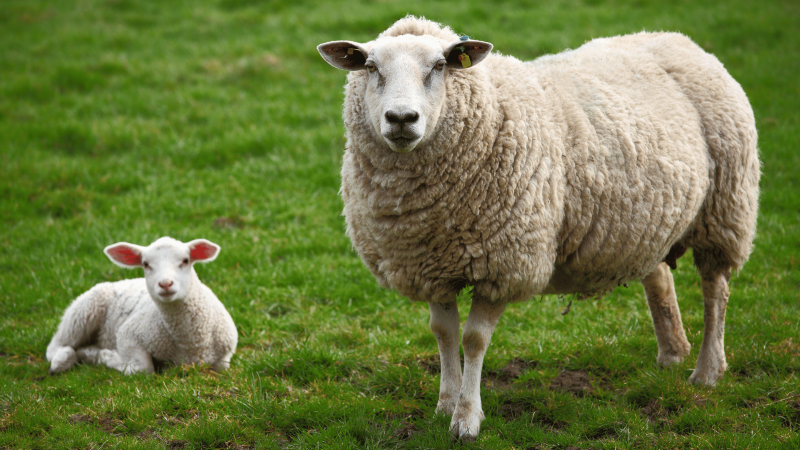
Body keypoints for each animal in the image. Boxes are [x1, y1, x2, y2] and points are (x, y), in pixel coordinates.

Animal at [46, 237, 238, 375]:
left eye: (185, 260)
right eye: (146, 264)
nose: (165, 284)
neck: (191, 342)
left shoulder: (225, 357)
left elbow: (222, 368)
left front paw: (102, 355)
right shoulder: (128, 334)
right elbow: (143, 369)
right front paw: (110, 357)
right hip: (82, 312)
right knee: (56, 345)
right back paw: (63, 360)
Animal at [318, 16, 760, 441]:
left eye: (440, 66)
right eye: (370, 67)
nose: (401, 119)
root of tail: (676, 38)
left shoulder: (504, 264)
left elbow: (473, 340)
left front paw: (467, 419)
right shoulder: (431, 264)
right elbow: (443, 333)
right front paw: (445, 404)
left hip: (724, 210)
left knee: (715, 290)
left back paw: (707, 371)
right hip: (645, 220)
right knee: (659, 277)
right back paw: (672, 353)